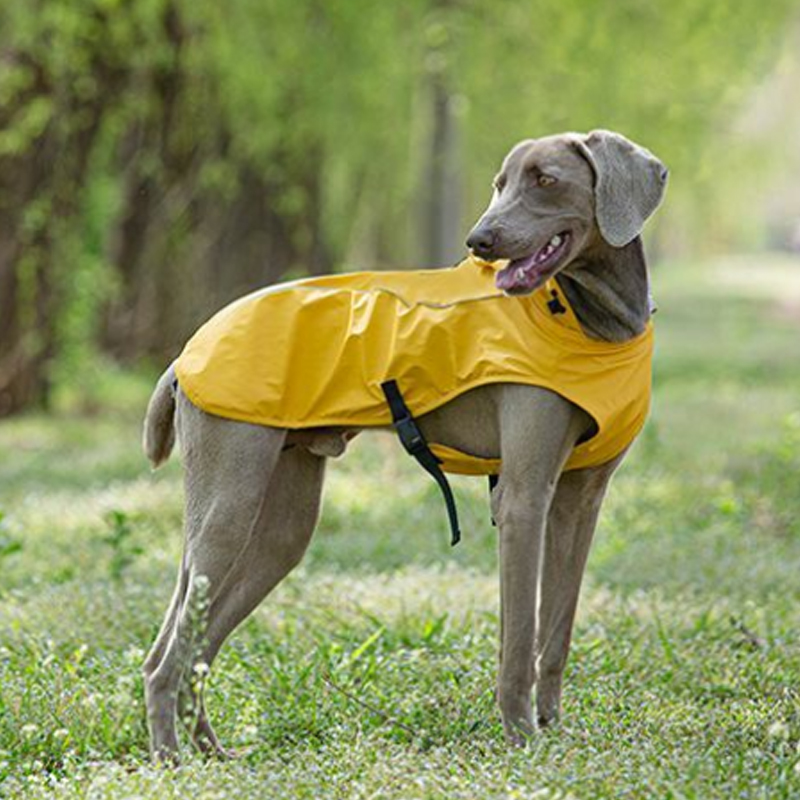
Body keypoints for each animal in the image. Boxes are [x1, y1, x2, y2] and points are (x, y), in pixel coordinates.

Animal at [142, 130, 668, 756]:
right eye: (499, 184)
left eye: (545, 179)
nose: (479, 241)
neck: (591, 321)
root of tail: (185, 353)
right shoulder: (523, 497)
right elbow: (520, 637)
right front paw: (521, 738)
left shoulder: (580, 501)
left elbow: (555, 634)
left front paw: (552, 728)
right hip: (229, 507)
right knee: (164, 659)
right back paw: (172, 759)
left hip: (278, 529)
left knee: (196, 647)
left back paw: (212, 754)